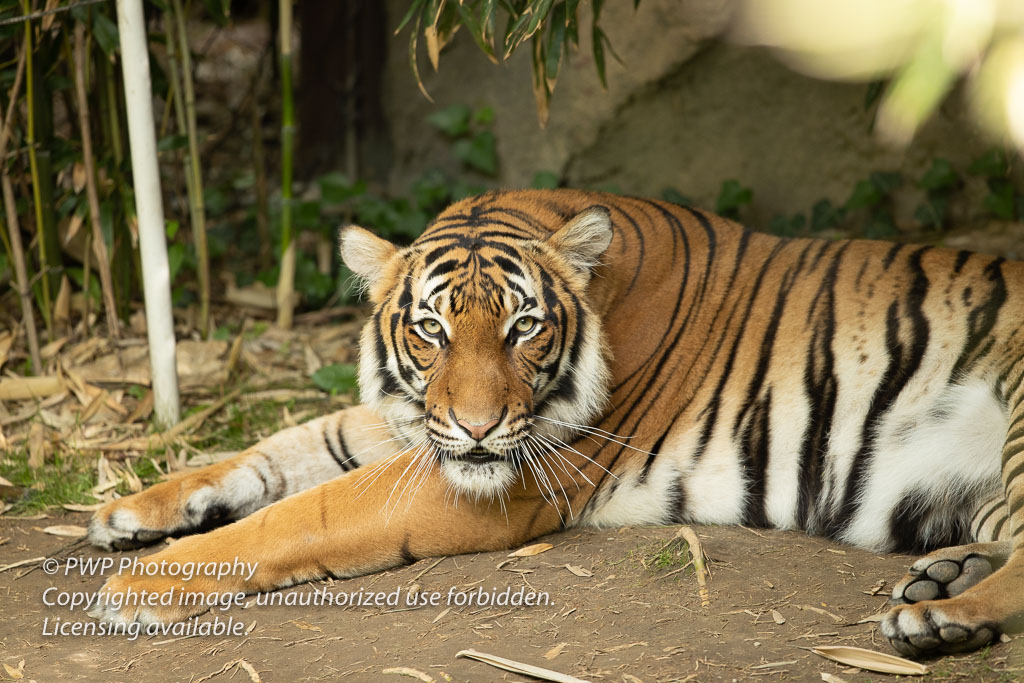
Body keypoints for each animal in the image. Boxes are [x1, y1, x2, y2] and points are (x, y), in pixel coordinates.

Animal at [86, 187, 1024, 655]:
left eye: (523, 327)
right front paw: (132, 510)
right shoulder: (416, 427)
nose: (474, 428)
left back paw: (938, 617)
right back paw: (943, 577)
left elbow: (302, 511)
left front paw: (138, 587)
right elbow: (285, 449)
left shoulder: (483, 483)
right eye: (431, 331)